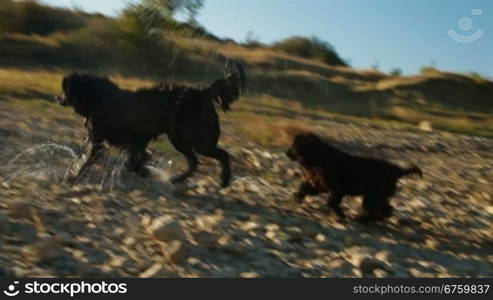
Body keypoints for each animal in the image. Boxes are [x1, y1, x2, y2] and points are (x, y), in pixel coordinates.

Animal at [57, 60, 246, 188]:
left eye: (65, 90)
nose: (57, 98)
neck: (98, 98)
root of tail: (204, 92)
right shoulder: (136, 141)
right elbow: (135, 161)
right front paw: (145, 170)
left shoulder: (101, 141)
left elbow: (85, 162)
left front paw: (71, 178)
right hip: (179, 139)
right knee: (194, 162)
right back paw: (176, 179)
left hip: (197, 139)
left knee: (222, 155)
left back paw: (224, 180)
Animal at [286, 132, 420, 221]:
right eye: (292, 144)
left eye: (296, 146)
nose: (287, 153)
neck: (317, 159)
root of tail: (396, 170)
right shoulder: (315, 184)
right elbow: (303, 190)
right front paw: (296, 198)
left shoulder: (336, 188)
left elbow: (332, 202)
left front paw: (340, 214)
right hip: (377, 195)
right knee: (386, 208)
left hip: (374, 195)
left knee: (378, 208)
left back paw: (364, 219)